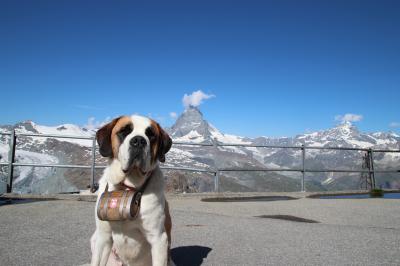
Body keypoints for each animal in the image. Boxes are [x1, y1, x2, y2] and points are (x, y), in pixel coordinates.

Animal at [91, 115, 174, 266]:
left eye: (151, 134)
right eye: (124, 131)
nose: (139, 141)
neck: (128, 187)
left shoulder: (159, 239)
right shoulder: (103, 236)